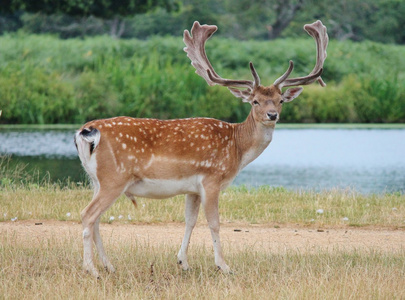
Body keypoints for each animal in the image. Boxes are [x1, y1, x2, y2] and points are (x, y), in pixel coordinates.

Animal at [74, 19, 326, 276]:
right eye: (255, 101)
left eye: (280, 100)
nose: (272, 115)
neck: (237, 148)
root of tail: (87, 131)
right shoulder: (211, 178)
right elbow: (214, 223)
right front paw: (224, 265)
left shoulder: (193, 188)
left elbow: (190, 221)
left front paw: (183, 262)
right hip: (114, 178)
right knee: (87, 215)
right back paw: (91, 269)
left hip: (96, 180)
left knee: (96, 219)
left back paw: (109, 265)